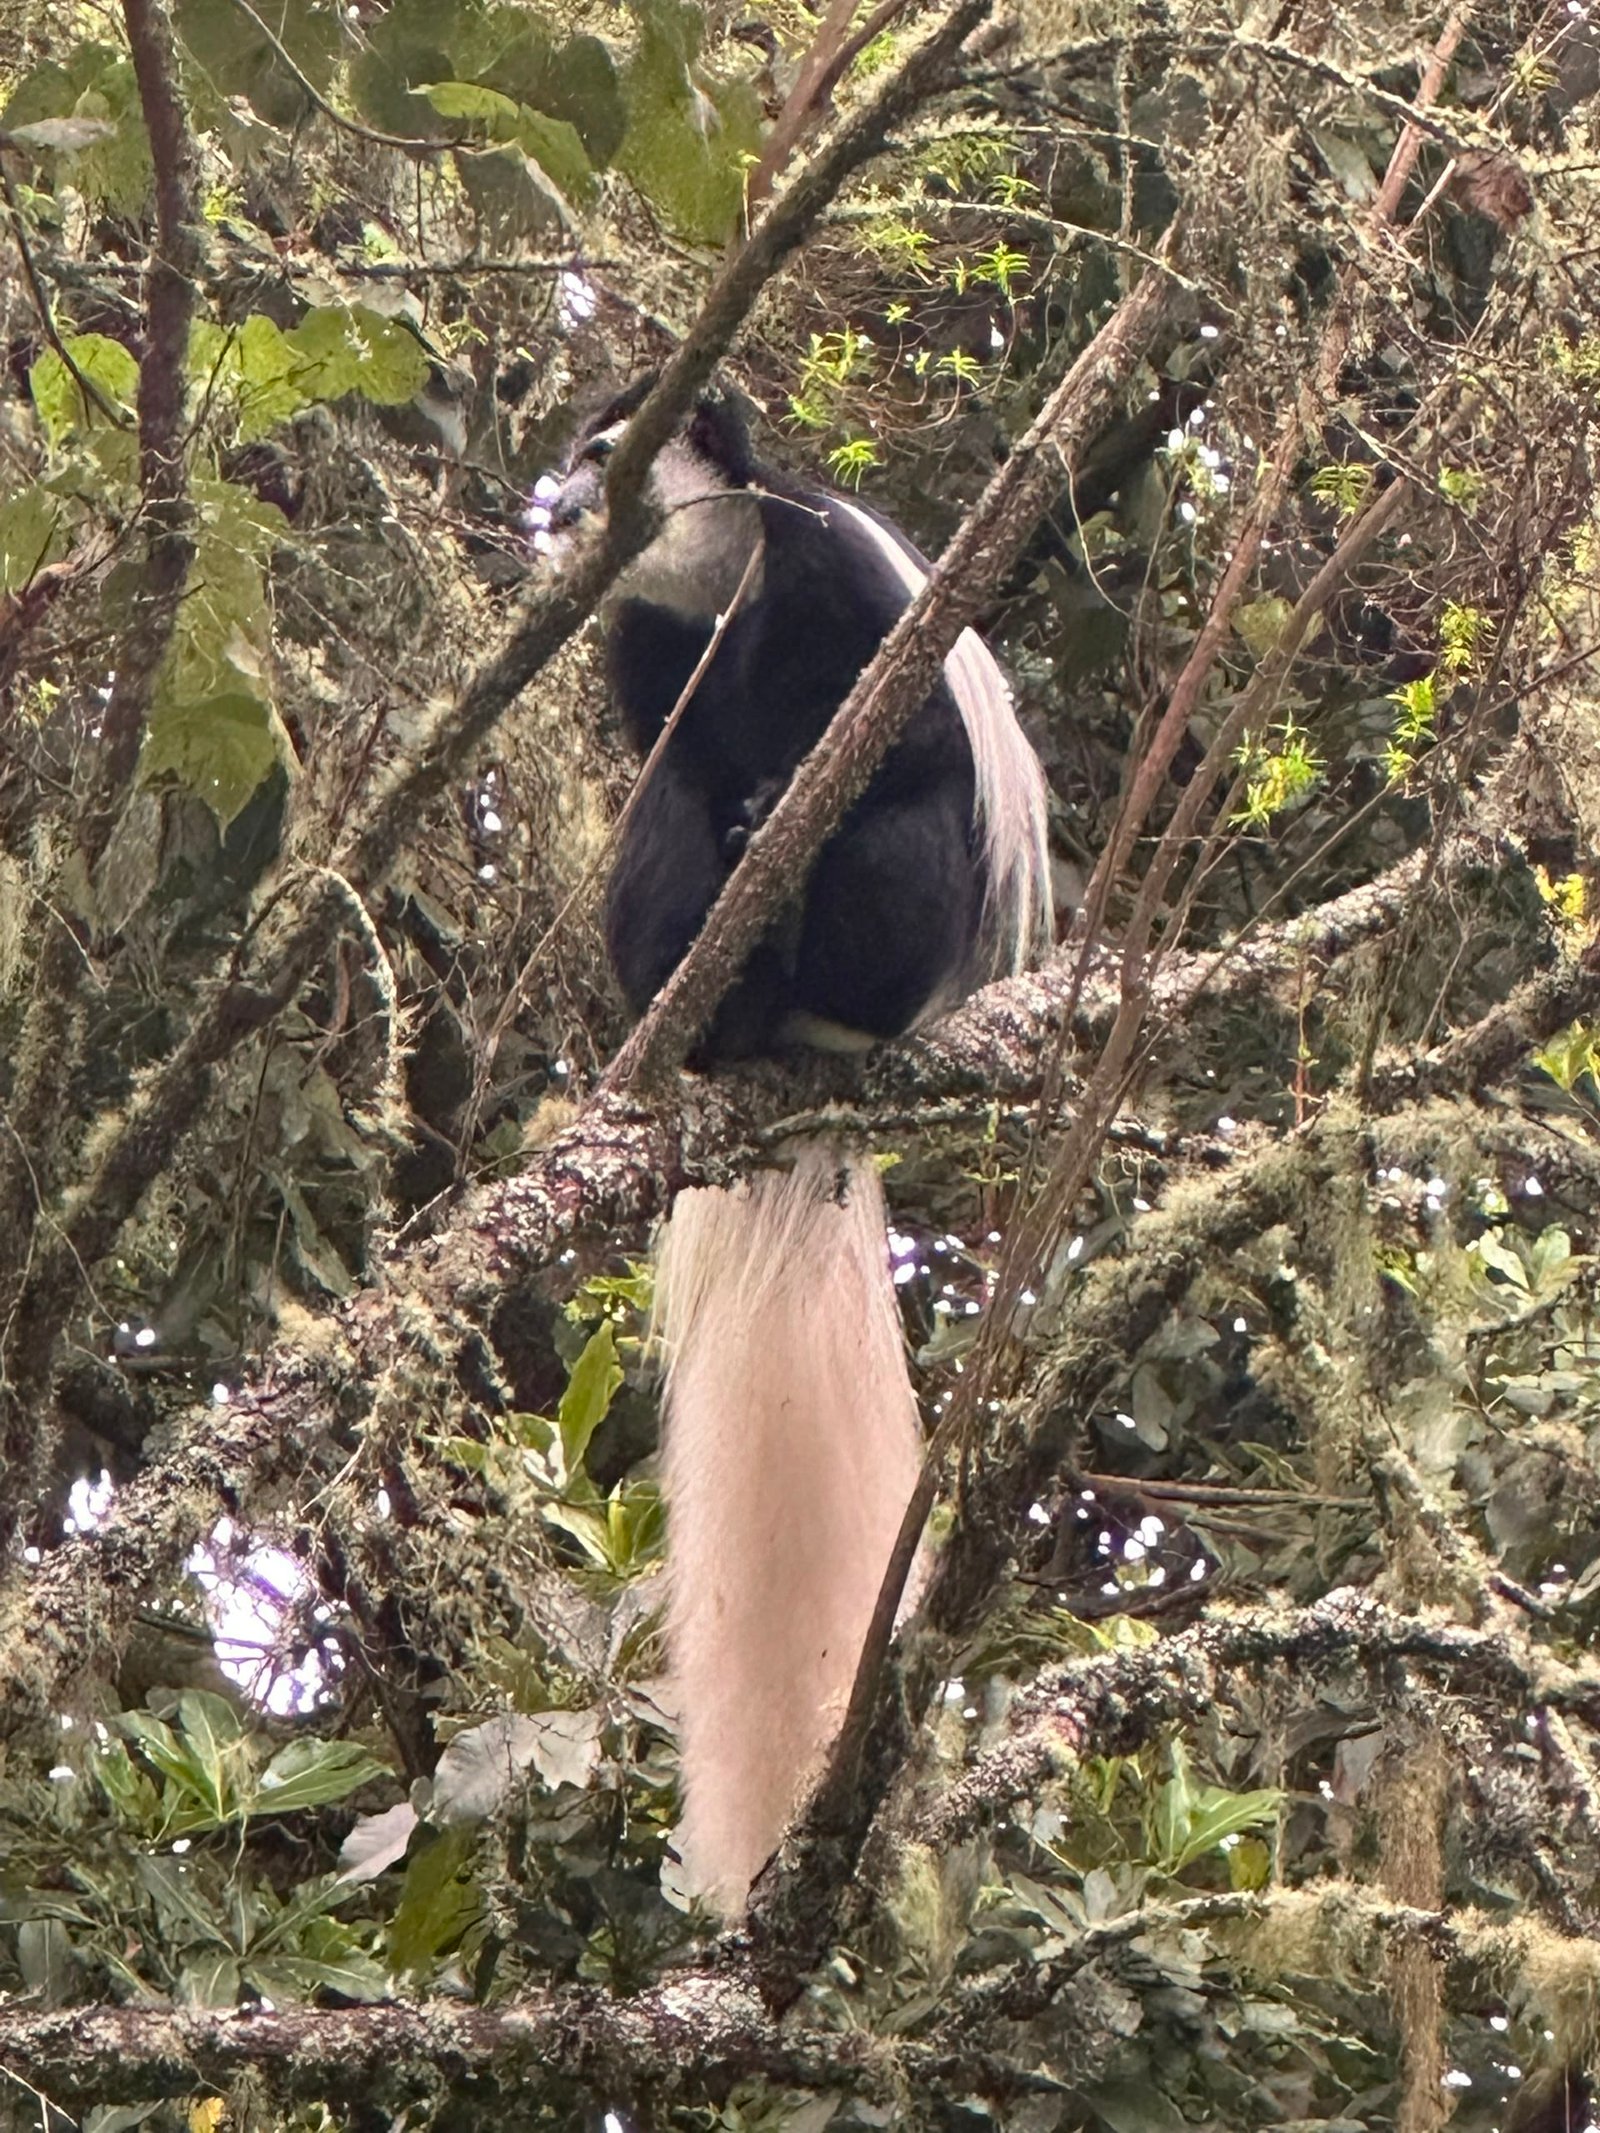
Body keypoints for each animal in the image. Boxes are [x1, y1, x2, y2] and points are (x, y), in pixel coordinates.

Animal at [547, 378, 1052, 1909]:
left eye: (607, 454)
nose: (562, 499)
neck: (724, 584)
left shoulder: (831, 563)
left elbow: (925, 746)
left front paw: (786, 810)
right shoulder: (642, 637)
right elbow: (662, 751)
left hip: (903, 927)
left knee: (905, 821)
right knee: (666, 798)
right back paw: (704, 1001)